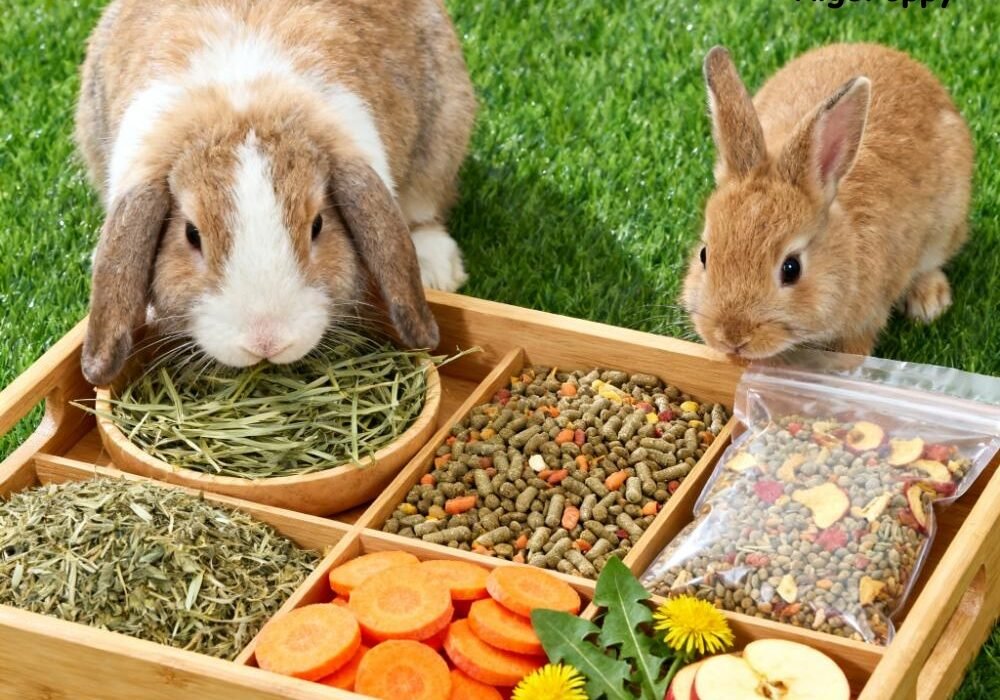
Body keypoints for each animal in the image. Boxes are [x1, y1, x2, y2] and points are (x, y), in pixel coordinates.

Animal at [74, 0, 476, 386]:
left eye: (318, 225)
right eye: (191, 235)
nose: (266, 341)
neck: (243, 102)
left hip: (443, 130)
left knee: (424, 211)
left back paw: (437, 270)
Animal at [682, 44, 973, 359]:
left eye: (791, 269)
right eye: (704, 255)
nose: (732, 337)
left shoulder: (865, 319)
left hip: (947, 222)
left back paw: (929, 301)